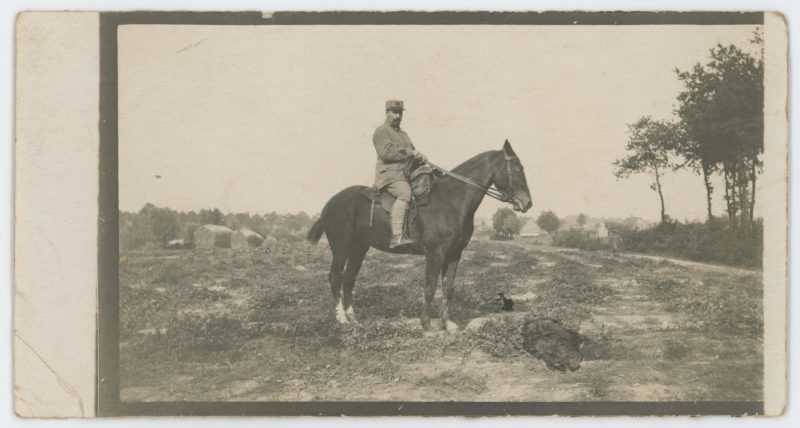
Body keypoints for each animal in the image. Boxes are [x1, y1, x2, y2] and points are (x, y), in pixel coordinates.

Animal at [306, 140, 532, 332]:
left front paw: (448, 324)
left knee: (349, 279)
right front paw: (426, 324)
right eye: (518, 168)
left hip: (358, 248)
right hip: (341, 248)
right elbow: (430, 287)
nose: (527, 203)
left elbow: (448, 288)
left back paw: (353, 318)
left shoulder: (454, 254)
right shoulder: (435, 254)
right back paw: (341, 319)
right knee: (335, 277)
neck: (451, 200)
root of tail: (329, 203)